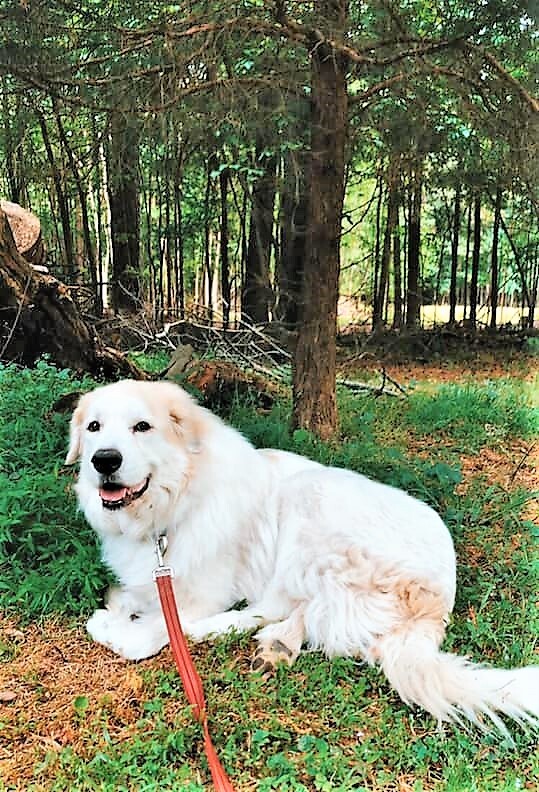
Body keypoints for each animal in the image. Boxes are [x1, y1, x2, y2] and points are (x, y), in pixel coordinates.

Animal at [67, 380, 539, 732]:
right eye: (94, 427)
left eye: (142, 426)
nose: (103, 460)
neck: (173, 504)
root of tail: (436, 600)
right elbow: (132, 593)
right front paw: (121, 602)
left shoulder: (200, 593)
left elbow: (141, 636)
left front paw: (113, 622)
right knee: (303, 614)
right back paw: (277, 647)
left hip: (308, 496)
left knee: (276, 607)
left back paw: (212, 633)